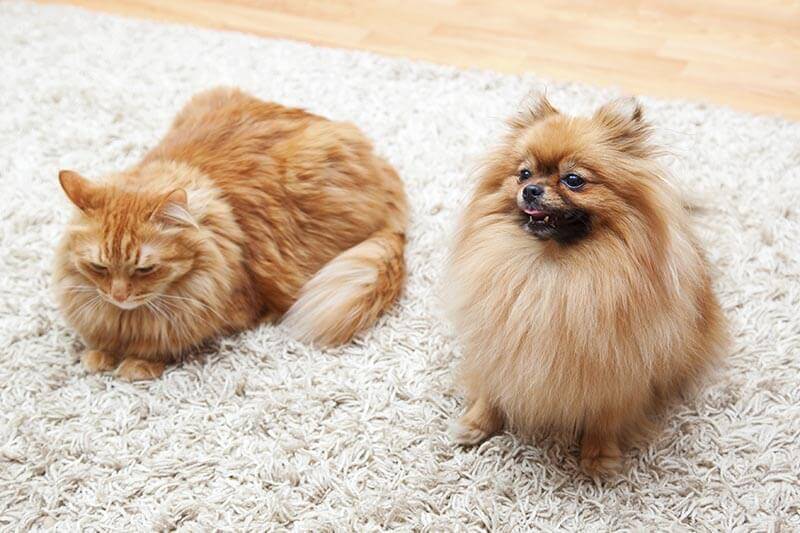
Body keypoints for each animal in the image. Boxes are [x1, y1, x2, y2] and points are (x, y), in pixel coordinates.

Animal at [51, 86, 406, 378]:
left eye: (145, 269)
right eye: (99, 267)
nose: (118, 296)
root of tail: (383, 169)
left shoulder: (223, 310)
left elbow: (171, 342)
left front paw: (139, 362)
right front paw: (99, 353)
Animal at [446, 94, 728, 474]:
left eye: (573, 179)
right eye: (523, 173)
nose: (530, 190)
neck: (551, 269)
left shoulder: (620, 366)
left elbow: (607, 413)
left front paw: (598, 454)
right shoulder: (498, 341)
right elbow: (493, 388)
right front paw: (476, 424)